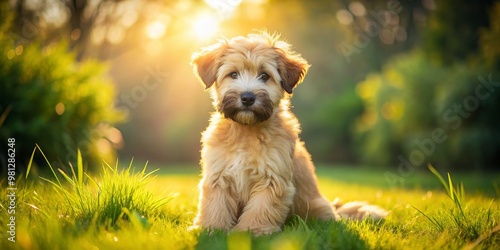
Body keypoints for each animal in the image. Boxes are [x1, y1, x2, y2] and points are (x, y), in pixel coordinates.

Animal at [191, 32, 386, 235]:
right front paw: (211, 228)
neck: (246, 130)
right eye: (233, 74)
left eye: (264, 75)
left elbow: (261, 207)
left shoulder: (272, 178)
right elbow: (216, 205)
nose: (247, 98)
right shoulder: (219, 176)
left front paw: (252, 230)